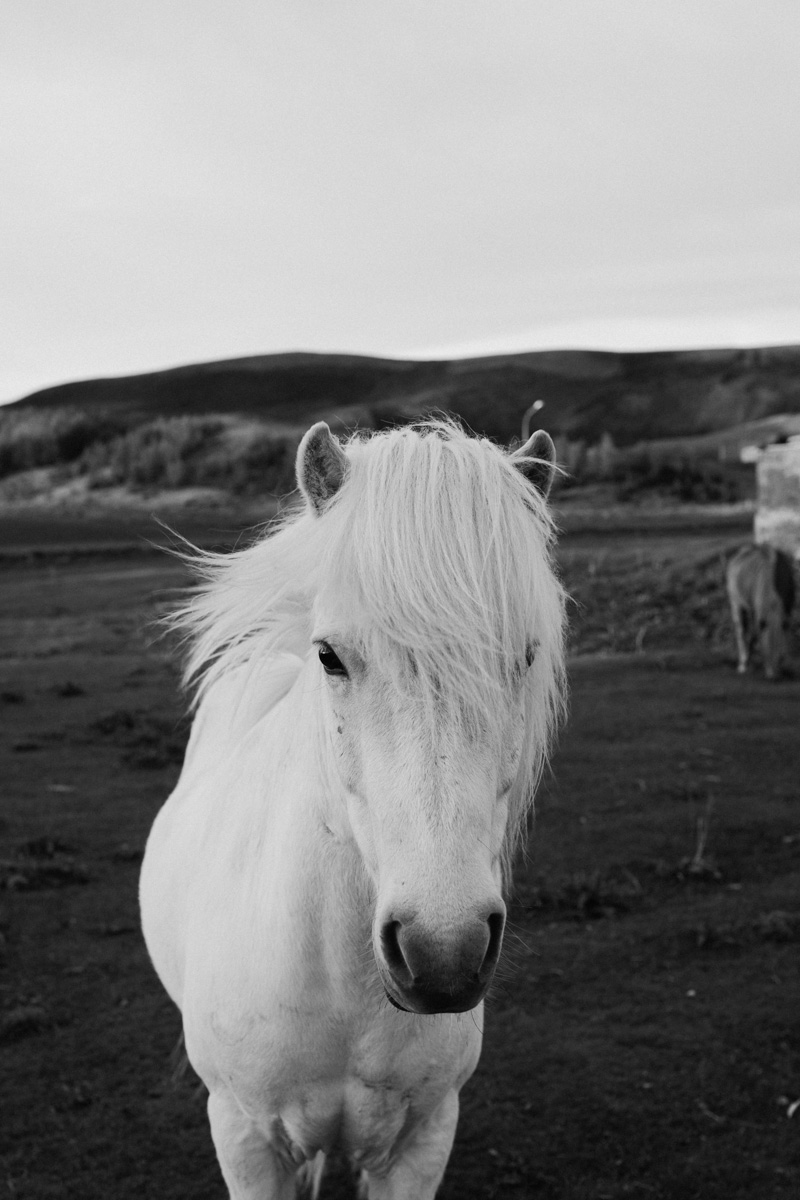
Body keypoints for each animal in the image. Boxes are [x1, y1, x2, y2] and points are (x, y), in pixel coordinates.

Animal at [142, 420, 568, 1200]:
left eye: (525, 657)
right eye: (330, 656)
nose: (442, 953)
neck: (341, 990)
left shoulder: (424, 1138)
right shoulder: (244, 1139)